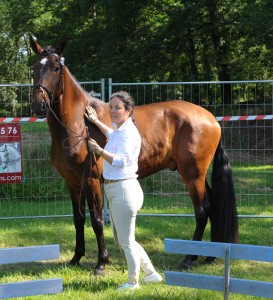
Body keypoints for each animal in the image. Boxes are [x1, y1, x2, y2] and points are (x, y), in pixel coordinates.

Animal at [29, 36, 238, 274]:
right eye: (34, 68)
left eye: (56, 68)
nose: (38, 105)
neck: (79, 124)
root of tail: (211, 118)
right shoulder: (73, 184)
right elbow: (78, 219)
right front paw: (76, 258)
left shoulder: (91, 180)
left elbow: (97, 220)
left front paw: (101, 263)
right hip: (198, 175)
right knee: (212, 206)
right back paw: (209, 256)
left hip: (193, 175)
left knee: (202, 210)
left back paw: (188, 258)